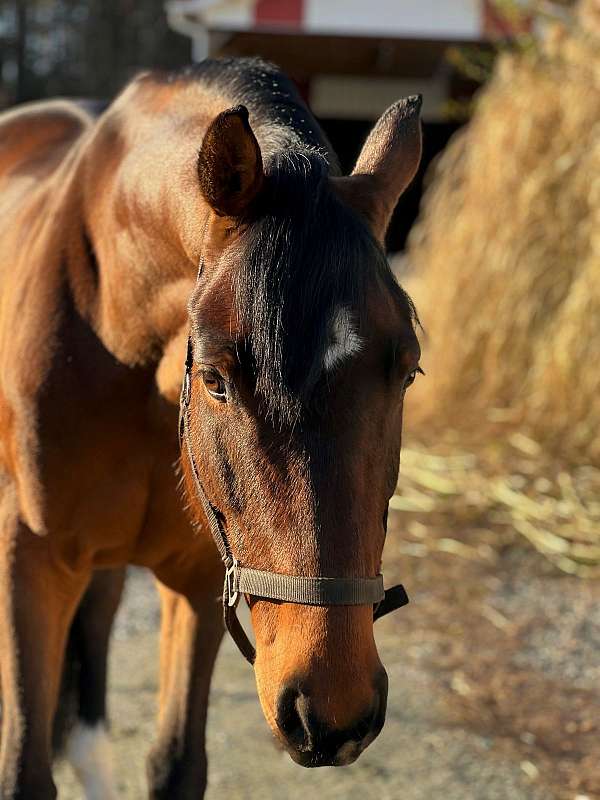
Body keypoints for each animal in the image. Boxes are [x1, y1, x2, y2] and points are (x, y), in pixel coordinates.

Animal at [0, 57, 422, 800]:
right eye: (219, 378)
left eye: (408, 371)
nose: (334, 710)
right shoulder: (35, 554)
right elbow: (25, 768)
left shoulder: (202, 577)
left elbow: (176, 764)